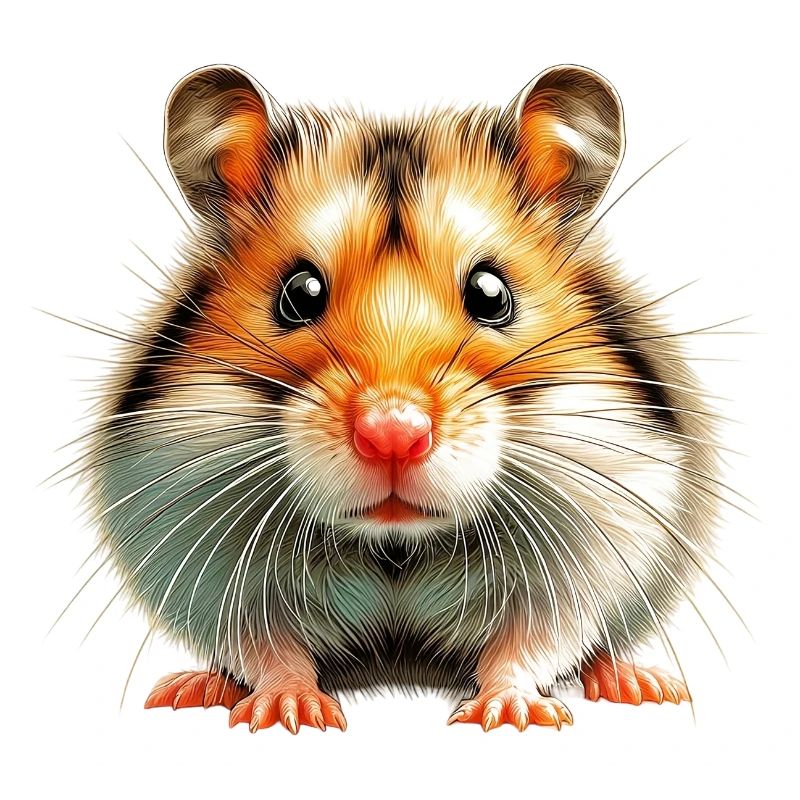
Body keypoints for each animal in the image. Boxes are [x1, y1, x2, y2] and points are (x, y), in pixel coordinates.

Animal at [83, 64, 717, 733]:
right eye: (298, 294)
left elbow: (532, 639)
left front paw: (510, 714)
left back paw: (643, 684)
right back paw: (191, 687)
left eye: (492, 293)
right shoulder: (200, 542)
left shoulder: (596, 533)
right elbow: (266, 643)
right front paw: (289, 713)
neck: (396, 544)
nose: (393, 435)